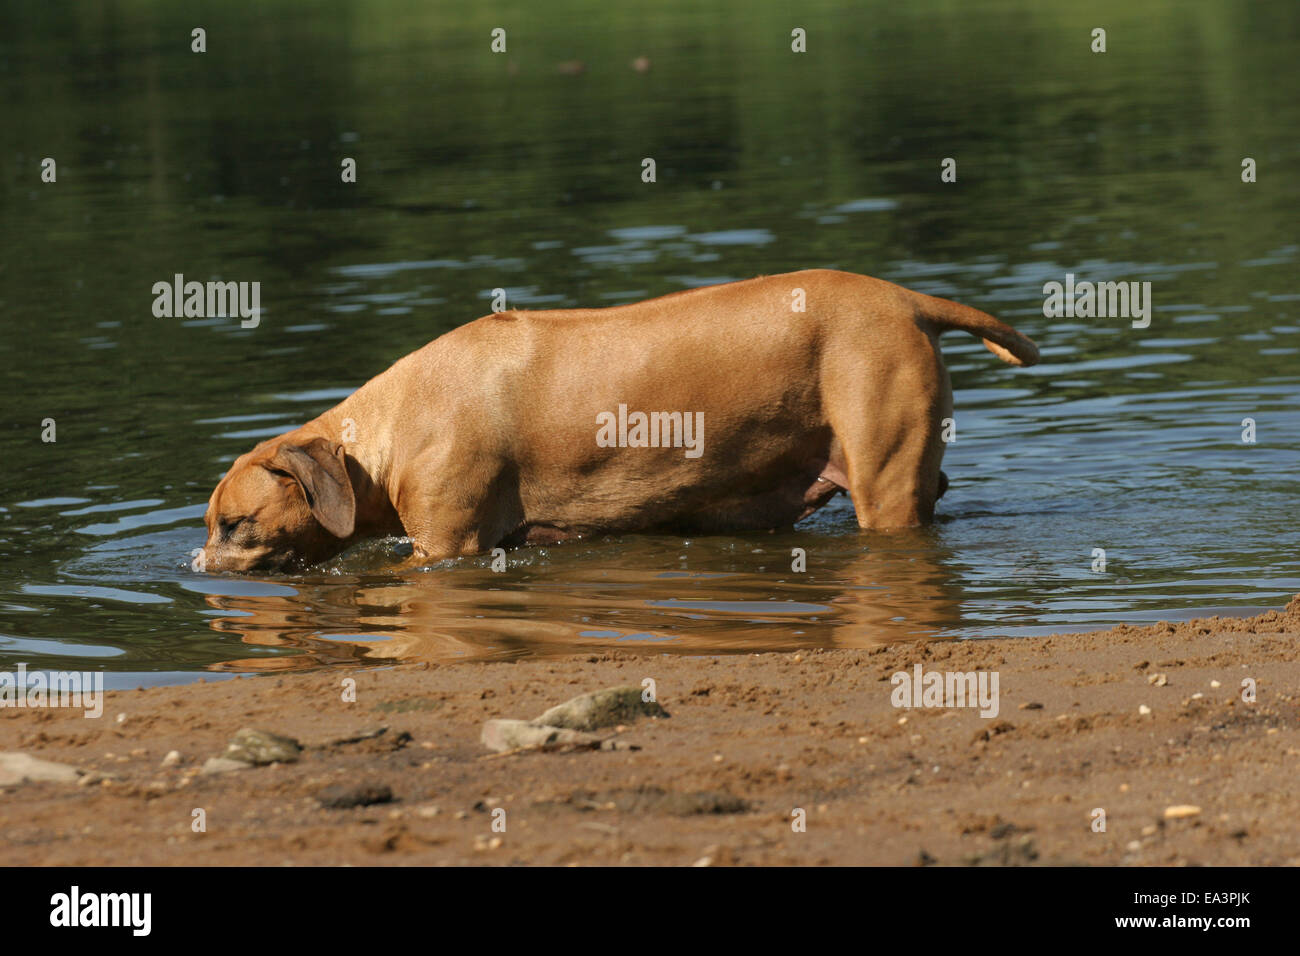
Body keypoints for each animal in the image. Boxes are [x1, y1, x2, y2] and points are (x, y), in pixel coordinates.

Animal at [200, 265, 1034, 572]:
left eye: (233, 525)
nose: (197, 572)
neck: (382, 433)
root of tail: (908, 298)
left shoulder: (448, 542)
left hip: (883, 473)